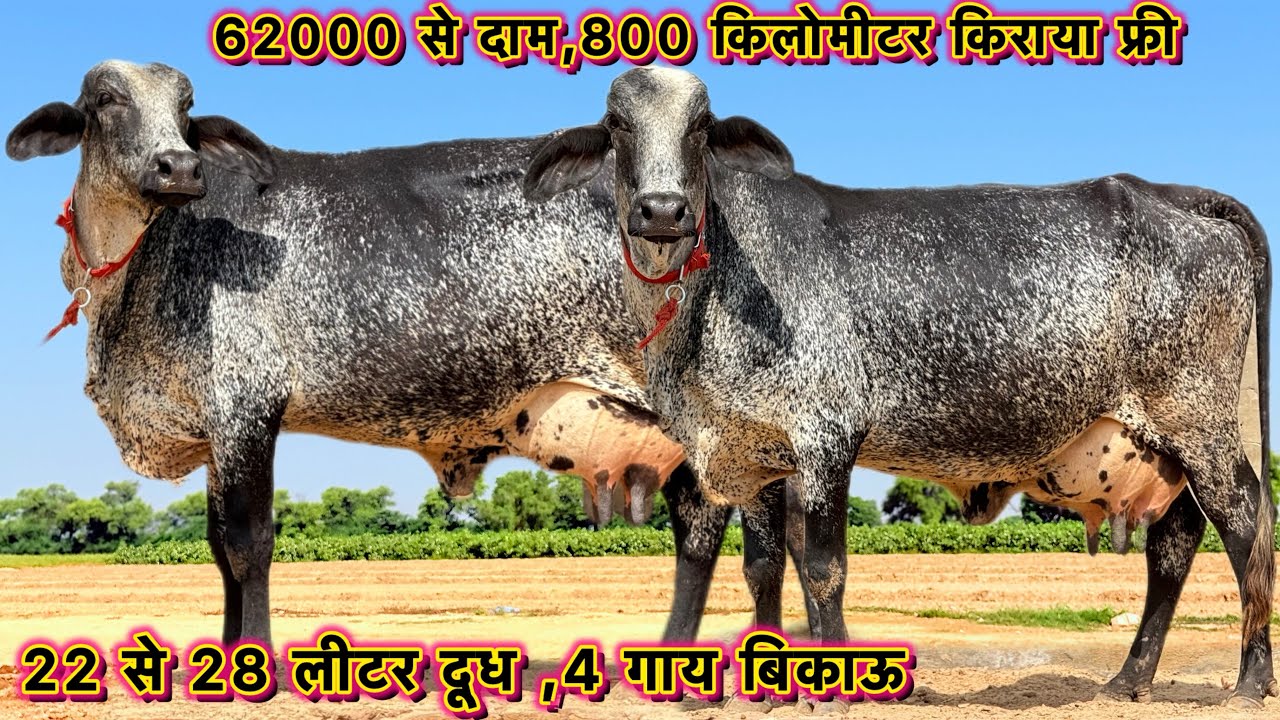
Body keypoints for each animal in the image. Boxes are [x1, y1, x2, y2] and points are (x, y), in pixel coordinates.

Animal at [5, 60, 828, 648]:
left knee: (724, 534)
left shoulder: (247, 410)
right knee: (725, 531)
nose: (179, 166)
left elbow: (248, 544)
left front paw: (253, 662)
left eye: (185, 109)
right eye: (107, 101)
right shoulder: (214, 429)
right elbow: (215, 549)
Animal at [523, 66, 1276, 707]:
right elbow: (764, 567)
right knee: (1174, 540)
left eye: (702, 126)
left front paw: (833, 688)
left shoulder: (826, 438)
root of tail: (1169, 193)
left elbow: (823, 565)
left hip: (1199, 421)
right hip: (1167, 438)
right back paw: (1129, 679)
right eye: (617, 123)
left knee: (1244, 520)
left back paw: (1249, 681)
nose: (662, 210)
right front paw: (771, 690)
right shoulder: (757, 450)